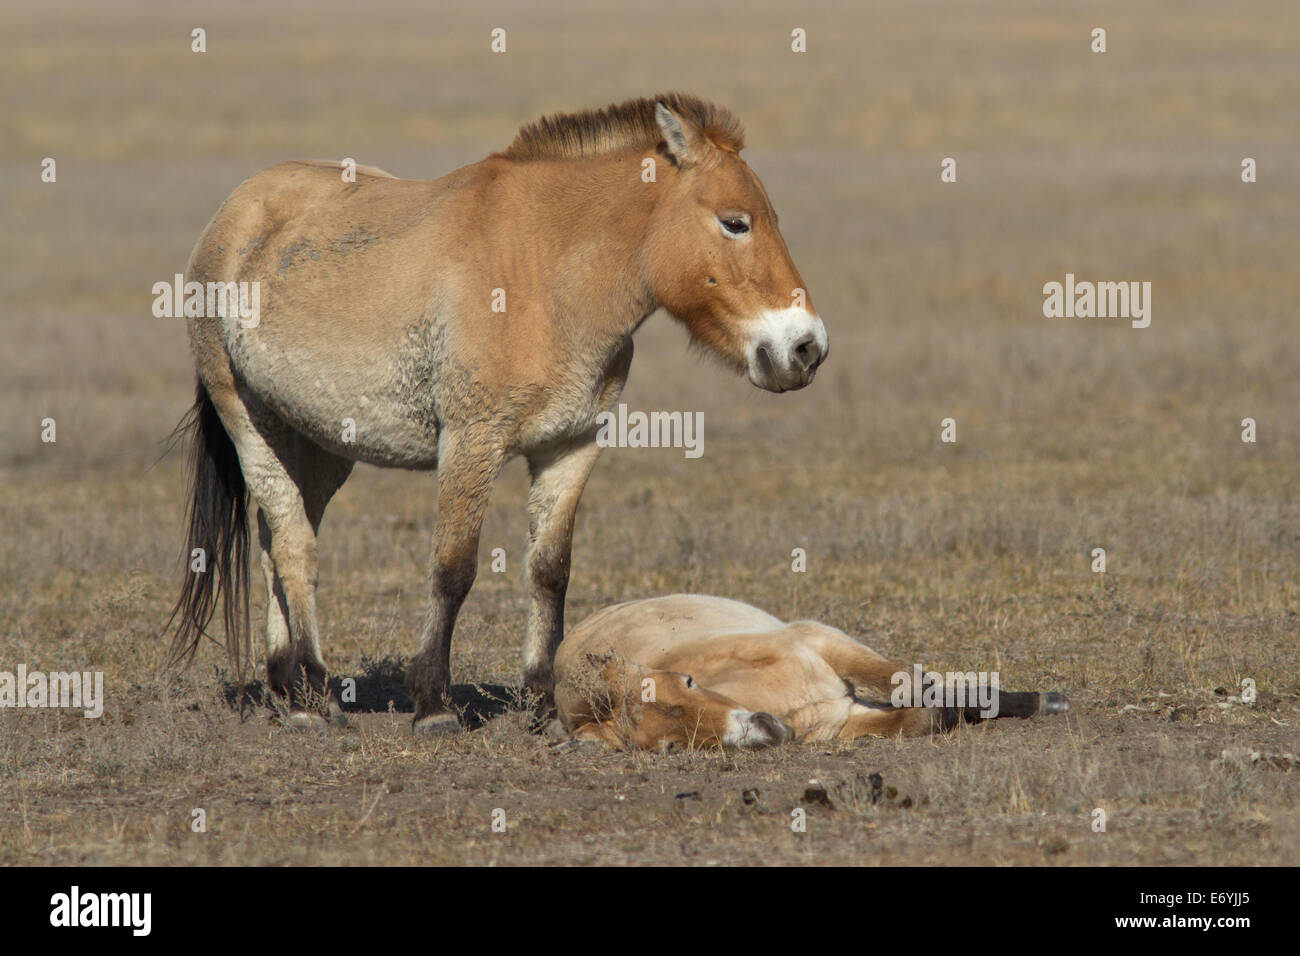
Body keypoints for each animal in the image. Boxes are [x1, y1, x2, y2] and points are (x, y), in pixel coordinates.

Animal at [165, 94, 829, 733]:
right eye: (735, 222)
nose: (806, 348)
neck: (543, 273)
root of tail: (235, 212)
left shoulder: (571, 447)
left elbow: (549, 570)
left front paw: (542, 705)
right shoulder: (470, 442)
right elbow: (453, 568)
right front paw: (433, 703)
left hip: (319, 443)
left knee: (276, 538)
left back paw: (286, 686)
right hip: (249, 420)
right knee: (294, 544)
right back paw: (310, 697)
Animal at [554, 595, 1071, 750]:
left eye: (687, 680)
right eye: (671, 747)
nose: (762, 727)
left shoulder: (818, 640)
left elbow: (907, 682)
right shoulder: (843, 718)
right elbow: (917, 717)